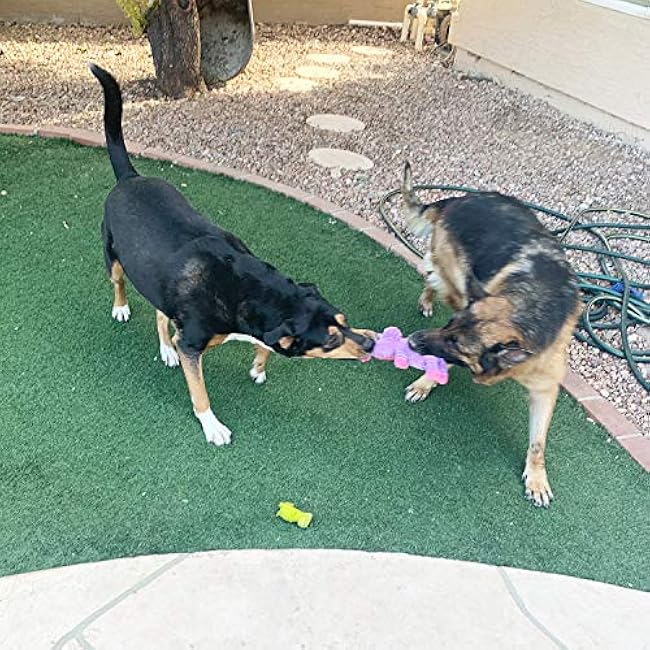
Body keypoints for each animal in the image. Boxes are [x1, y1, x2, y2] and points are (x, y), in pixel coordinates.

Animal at [89, 64, 375, 446]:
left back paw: (165, 346)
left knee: (161, 314)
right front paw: (212, 425)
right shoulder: (191, 346)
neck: (246, 288)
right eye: (330, 340)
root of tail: (130, 178)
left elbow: (265, 345)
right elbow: (200, 393)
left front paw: (258, 367)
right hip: (114, 259)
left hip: (154, 275)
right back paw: (123, 309)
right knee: (120, 284)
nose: (371, 344)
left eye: (344, 319)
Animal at [401, 163, 580, 507]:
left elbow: (538, 443)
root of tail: (460, 198)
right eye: (449, 326)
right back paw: (426, 299)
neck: (531, 307)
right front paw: (426, 381)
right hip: (455, 283)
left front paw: (537, 478)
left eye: (456, 342)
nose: (411, 341)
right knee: (432, 275)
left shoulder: (545, 388)